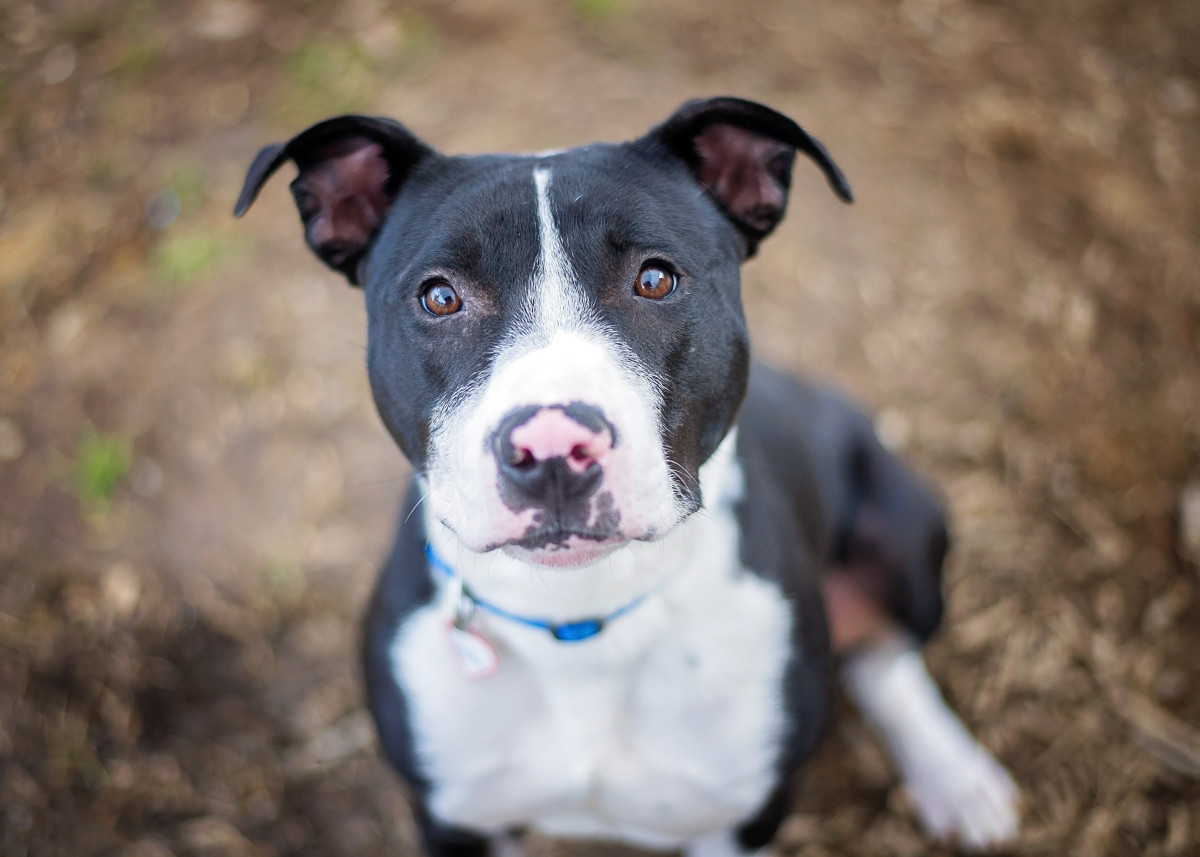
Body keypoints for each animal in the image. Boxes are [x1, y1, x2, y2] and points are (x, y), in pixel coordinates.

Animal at [236, 96, 1022, 849]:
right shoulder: (455, 821)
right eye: (440, 296)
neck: (581, 617)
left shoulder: (743, 820)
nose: (552, 449)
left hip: (908, 529)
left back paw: (956, 776)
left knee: (889, 658)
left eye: (654, 279)